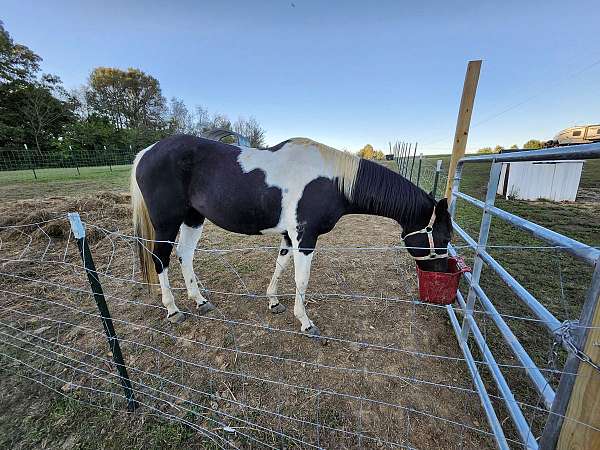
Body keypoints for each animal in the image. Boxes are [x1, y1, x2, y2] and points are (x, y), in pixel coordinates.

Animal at [130, 135, 450, 336]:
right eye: (444, 237)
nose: (442, 273)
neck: (332, 180)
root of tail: (146, 152)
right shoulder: (305, 238)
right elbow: (301, 279)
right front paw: (306, 322)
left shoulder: (289, 235)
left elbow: (281, 266)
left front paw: (273, 302)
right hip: (167, 222)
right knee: (161, 259)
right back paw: (172, 309)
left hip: (194, 218)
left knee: (185, 255)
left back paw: (199, 300)